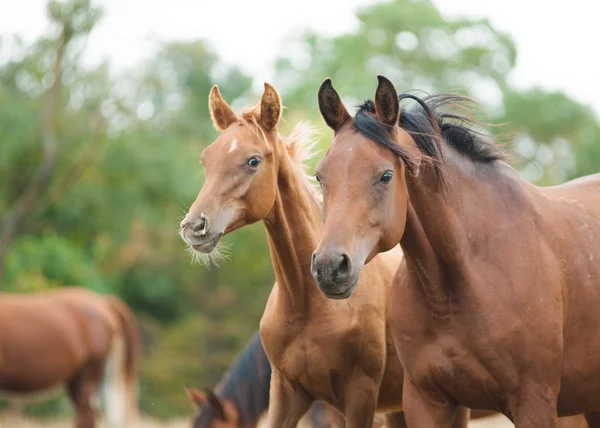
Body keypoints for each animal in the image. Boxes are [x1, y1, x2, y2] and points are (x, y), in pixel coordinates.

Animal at [178, 83, 414, 428]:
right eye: (206, 159)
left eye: (253, 161)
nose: (194, 226)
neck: (308, 305)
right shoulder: (287, 393)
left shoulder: (358, 397)